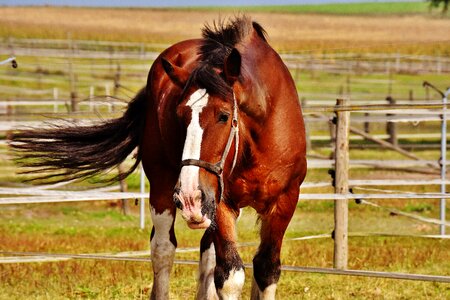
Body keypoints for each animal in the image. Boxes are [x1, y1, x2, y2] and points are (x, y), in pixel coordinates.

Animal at [11, 17, 306, 300]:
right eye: (179, 115)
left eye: (224, 115)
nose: (189, 196)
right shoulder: (222, 202)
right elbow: (230, 276)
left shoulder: (284, 201)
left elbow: (265, 270)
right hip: (166, 189)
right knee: (163, 248)